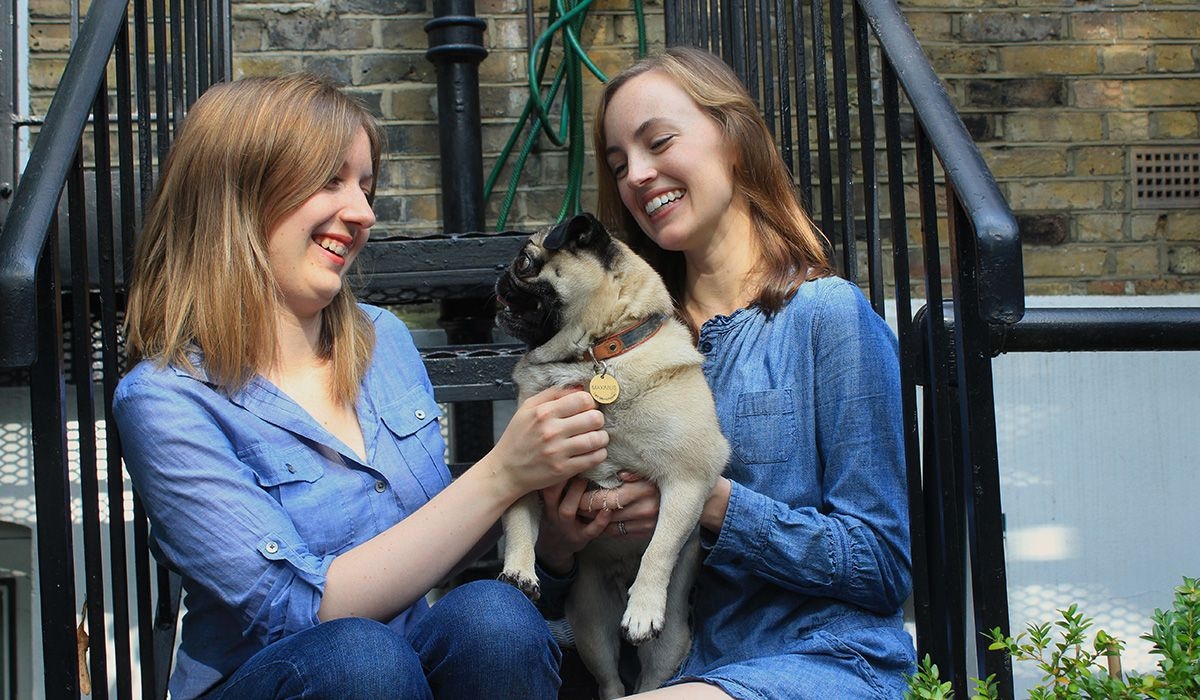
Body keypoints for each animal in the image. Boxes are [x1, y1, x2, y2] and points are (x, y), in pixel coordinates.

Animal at [492, 211, 724, 696]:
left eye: (524, 262)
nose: (500, 275)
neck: (594, 355)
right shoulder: (525, 469)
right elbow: (519, 523)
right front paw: (519, 572)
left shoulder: (688, 481)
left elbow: (660, 547)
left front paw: (644, 605)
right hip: (592, 625)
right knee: (610, 682)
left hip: (670, 643)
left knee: (649, 679)